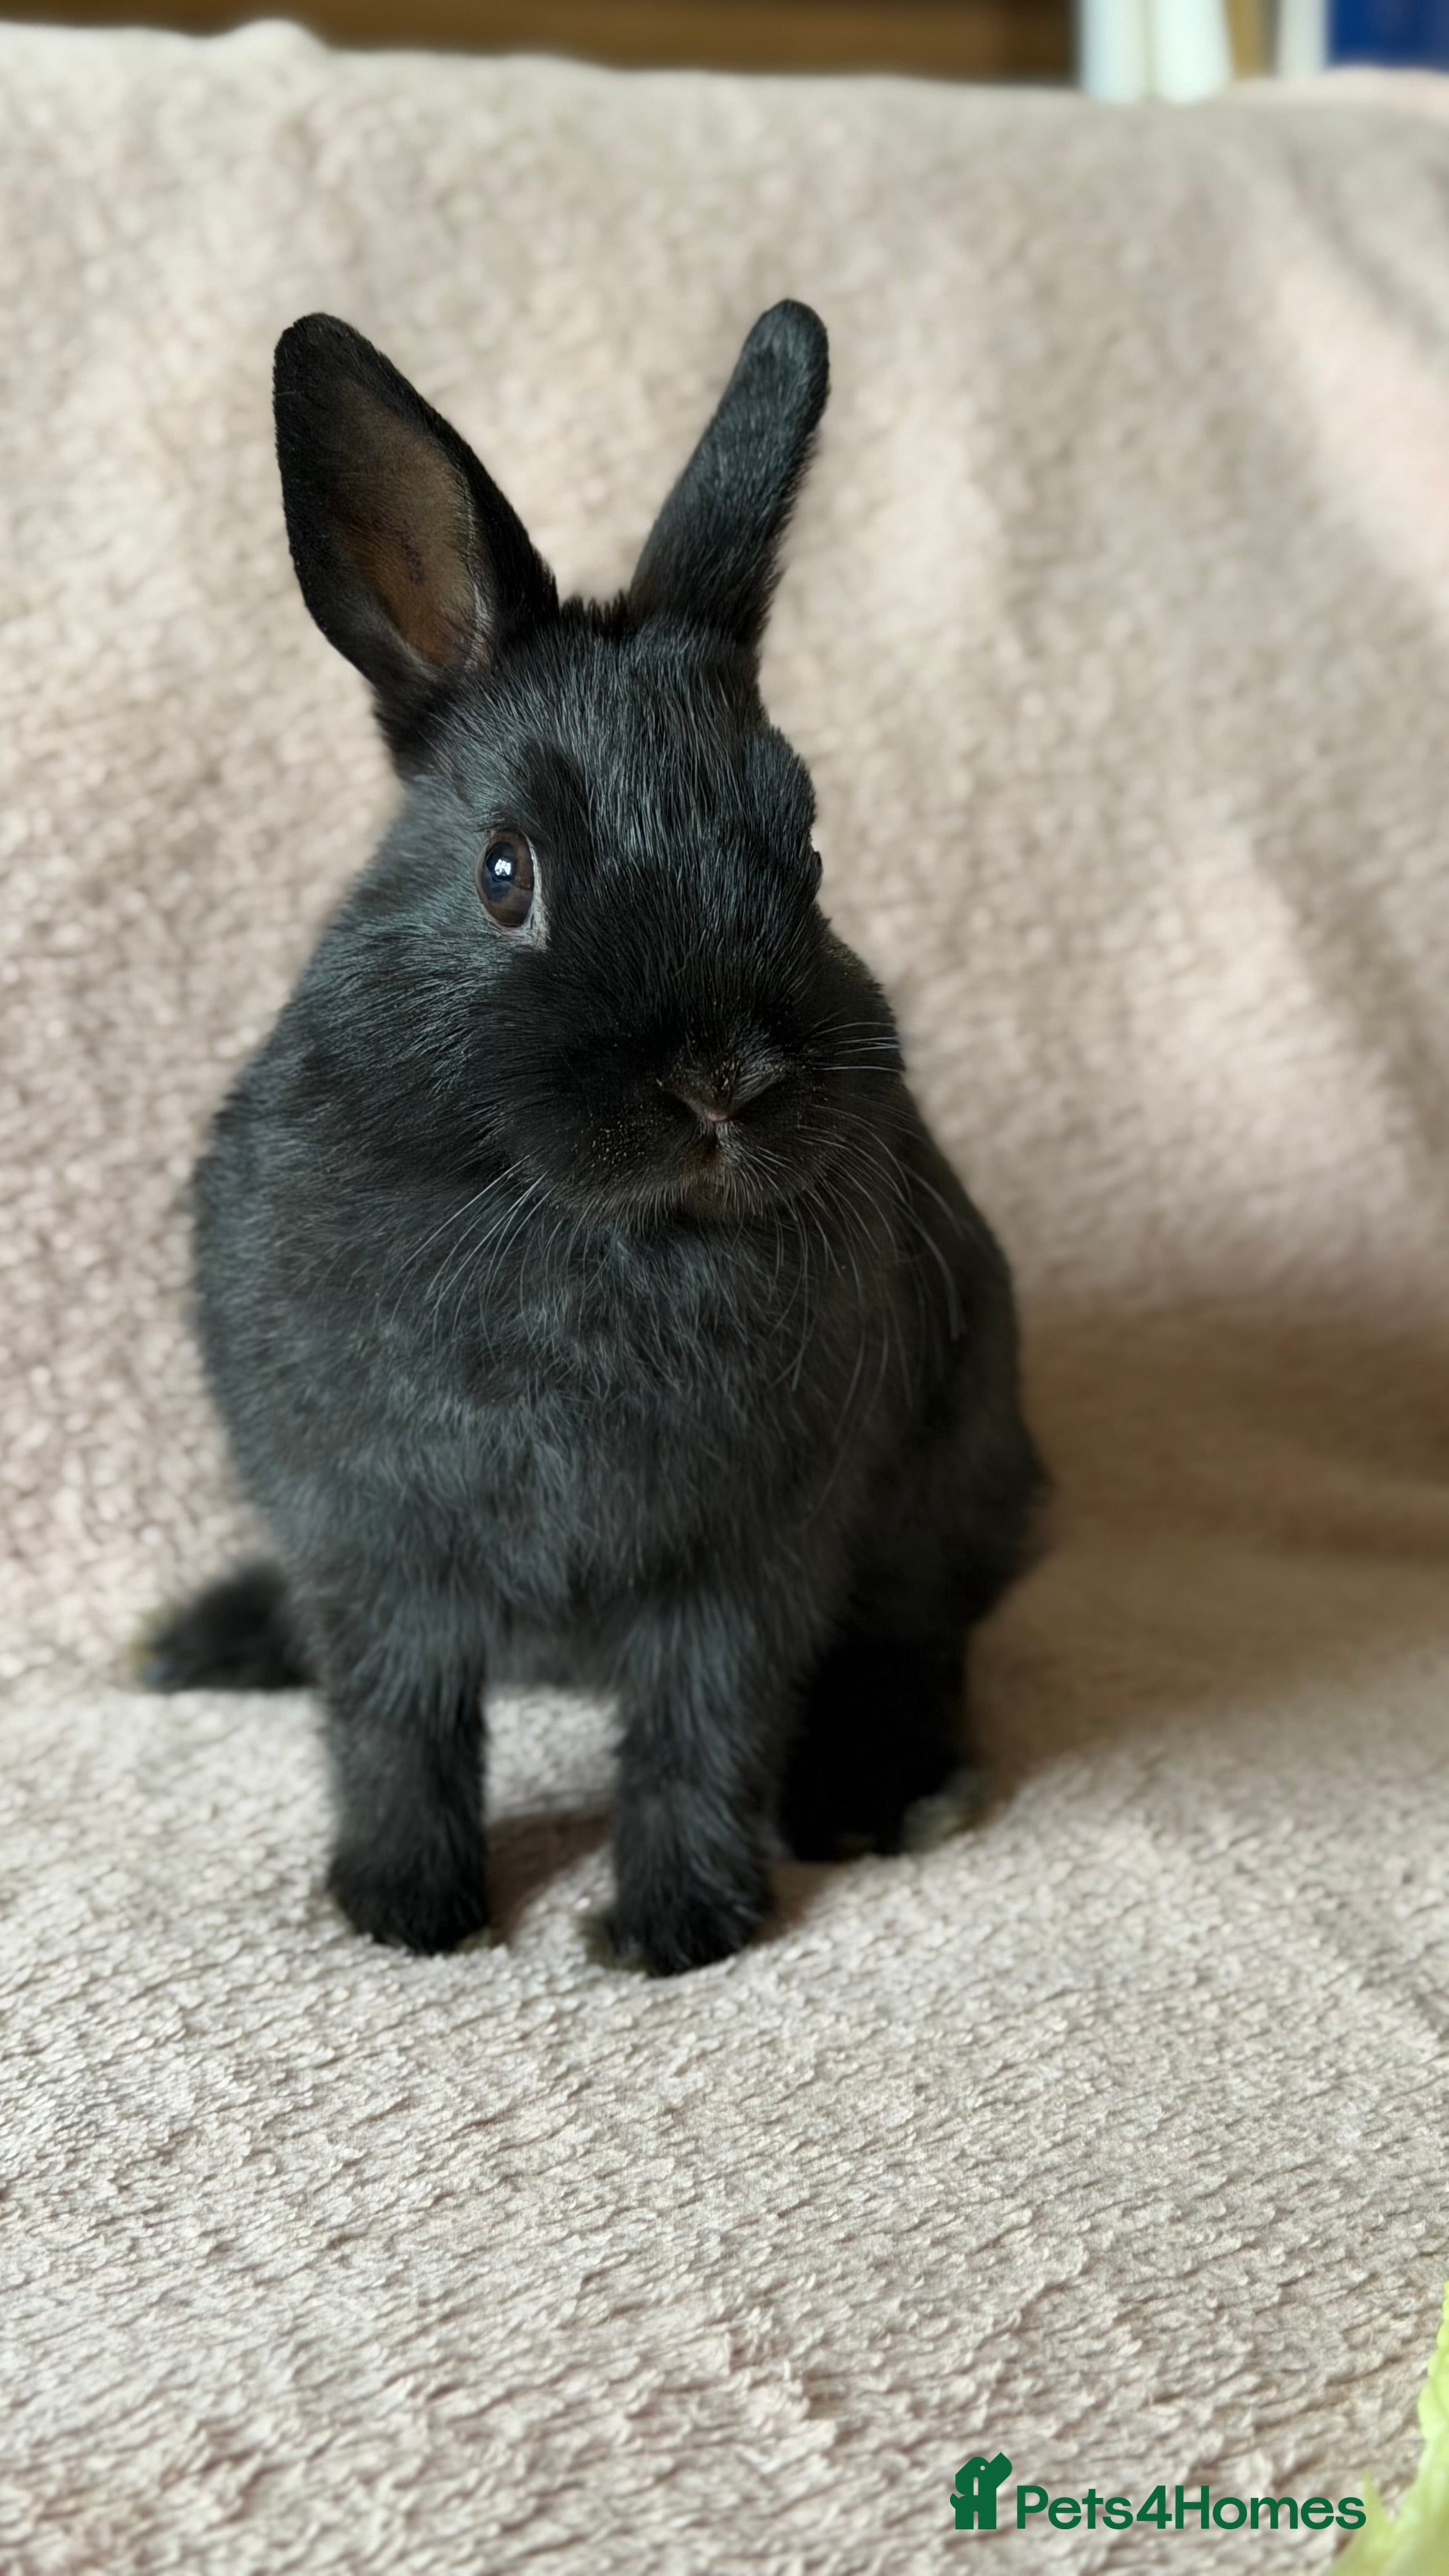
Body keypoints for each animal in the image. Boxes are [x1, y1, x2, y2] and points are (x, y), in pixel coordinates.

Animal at [139, 301, 1046, 1976]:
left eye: (807, 846)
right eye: (508, 874)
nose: (722, 1081)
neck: (591, 1236)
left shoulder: (747, 1558)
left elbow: (703, 1728)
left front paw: (676, 1926)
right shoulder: (379, 1549)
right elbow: (397, 1723)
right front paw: (403, 1912)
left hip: (951, 1482)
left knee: (919, 1636)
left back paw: (885, 1791)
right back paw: (200, 1639)